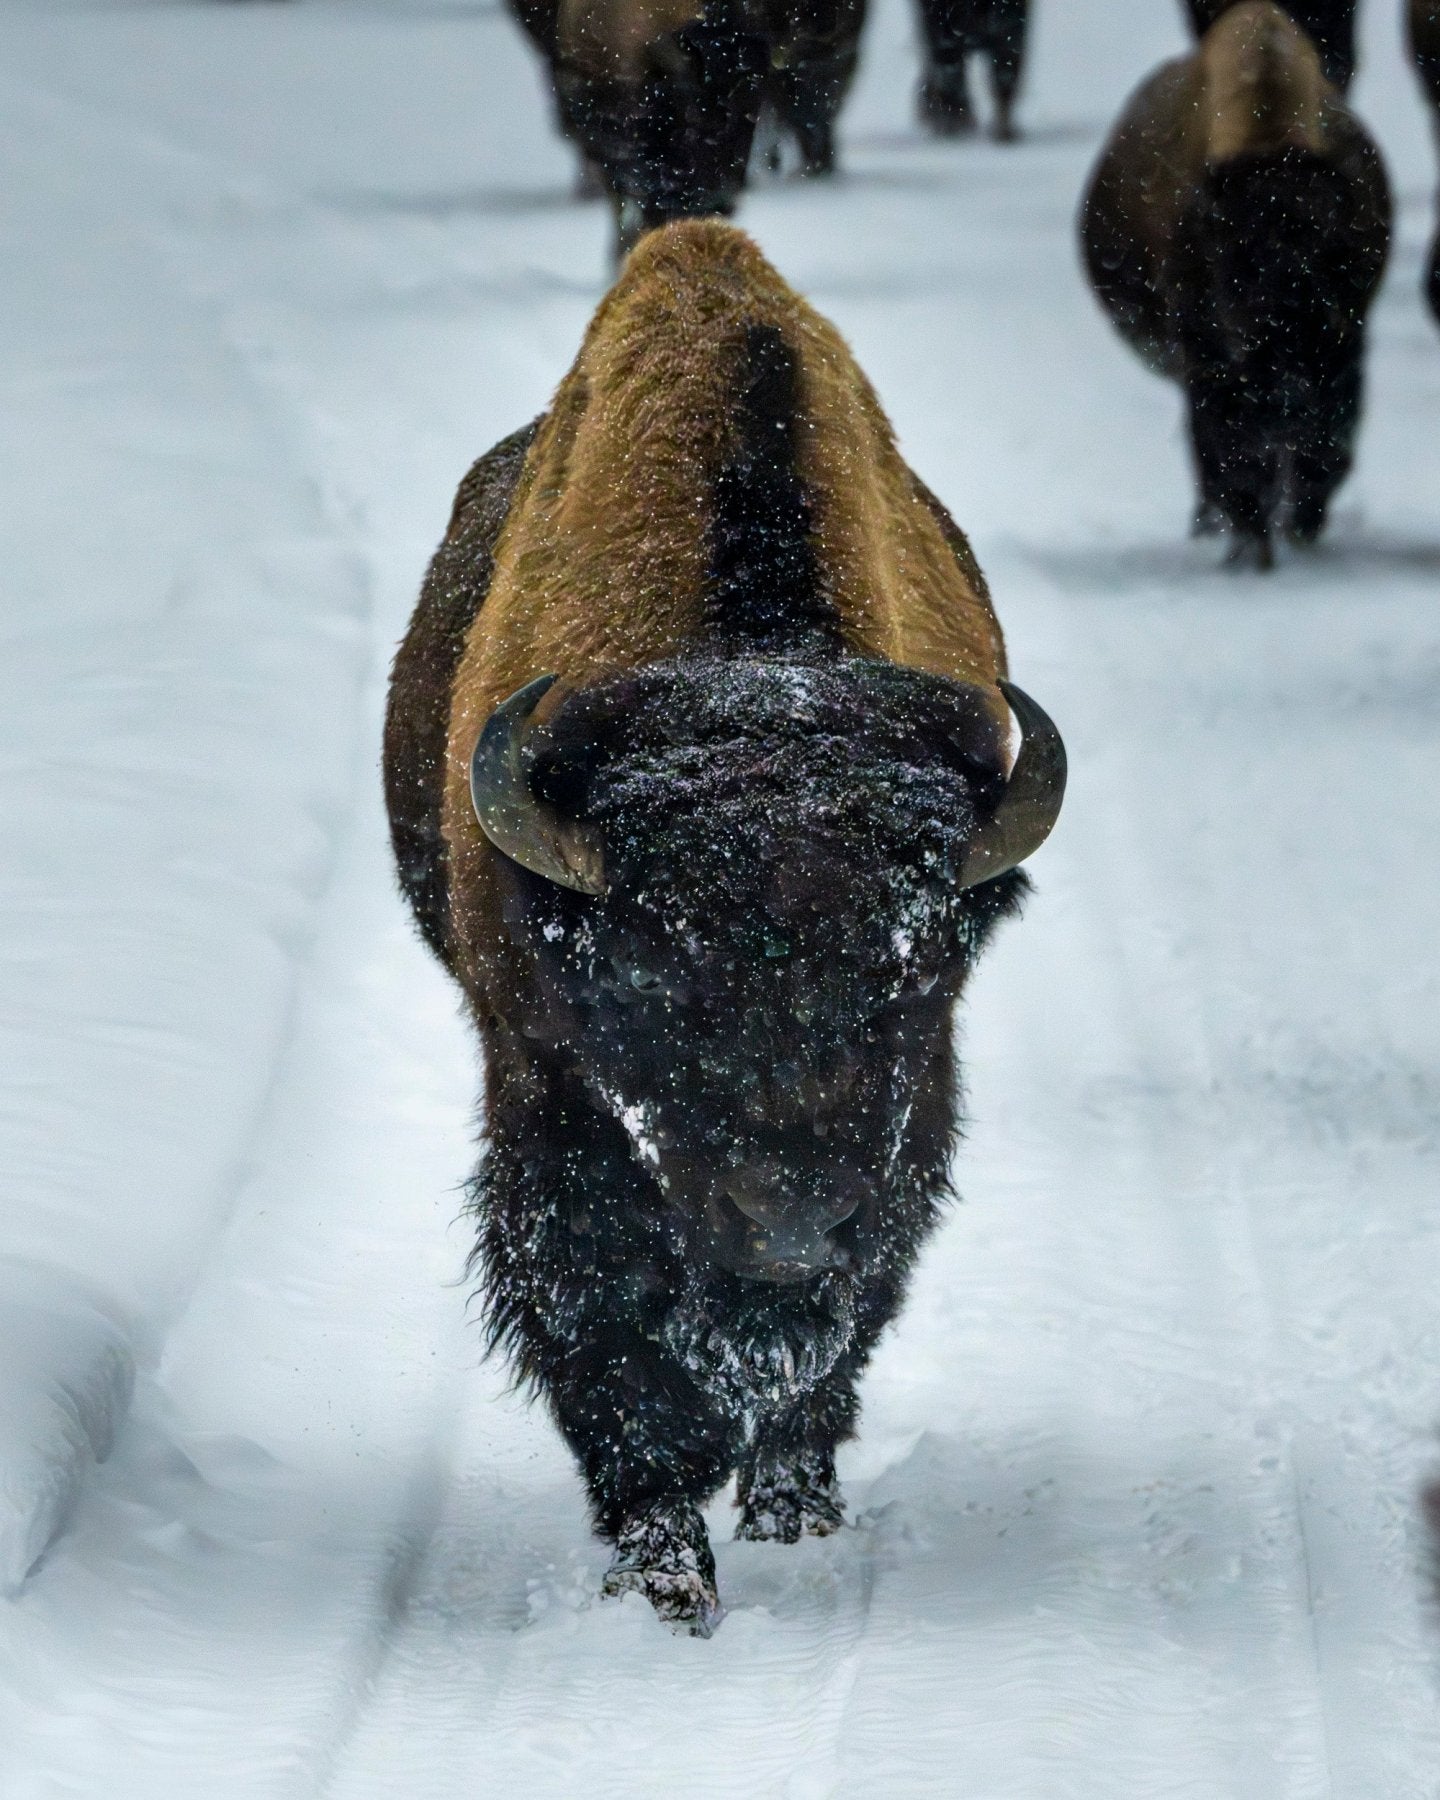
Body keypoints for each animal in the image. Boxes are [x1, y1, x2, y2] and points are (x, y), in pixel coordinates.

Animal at [384, 220, 1065, 1634]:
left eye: (913, 973)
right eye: (653, 982)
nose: (791, 1220)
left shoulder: (910, 1123)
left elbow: (853, 1312)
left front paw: (789, 1511)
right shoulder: (546, 1084)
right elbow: (600, 1316)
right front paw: (661, 1569)